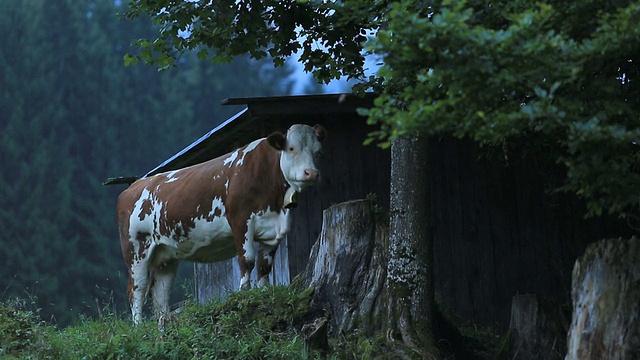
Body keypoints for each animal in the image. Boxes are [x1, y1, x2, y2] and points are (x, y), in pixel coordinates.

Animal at [115, 124, 324, 326]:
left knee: (160, 290)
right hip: (136, 250)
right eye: (291, 148)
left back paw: (164, 319)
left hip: (165, 253)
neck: (276, 203)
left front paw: (264, 293)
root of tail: (133, 187)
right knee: (137, 288)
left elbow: (265, 266)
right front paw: (245, 293)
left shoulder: (274, 231)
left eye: (317, 151)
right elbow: (247, 260)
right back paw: (138, 326)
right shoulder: (240, 221)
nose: (312, 173)